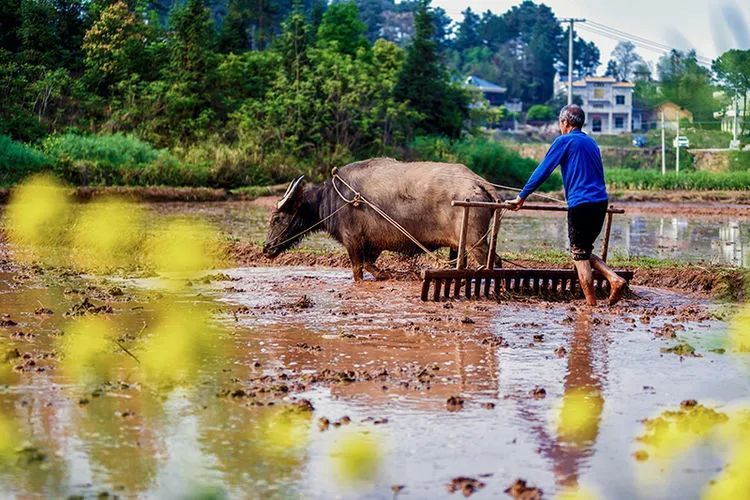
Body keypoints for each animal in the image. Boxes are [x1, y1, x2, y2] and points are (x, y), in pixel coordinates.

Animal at [264, 157, 500, 282]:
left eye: (277, 218)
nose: (266, 248)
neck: (333, 199)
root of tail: (478, 182)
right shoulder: (373, 245)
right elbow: (370, 264)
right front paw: (385, 274)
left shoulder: (353, 241)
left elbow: (358, 270)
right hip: (460, 244)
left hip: (476, 243)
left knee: (492, 262)